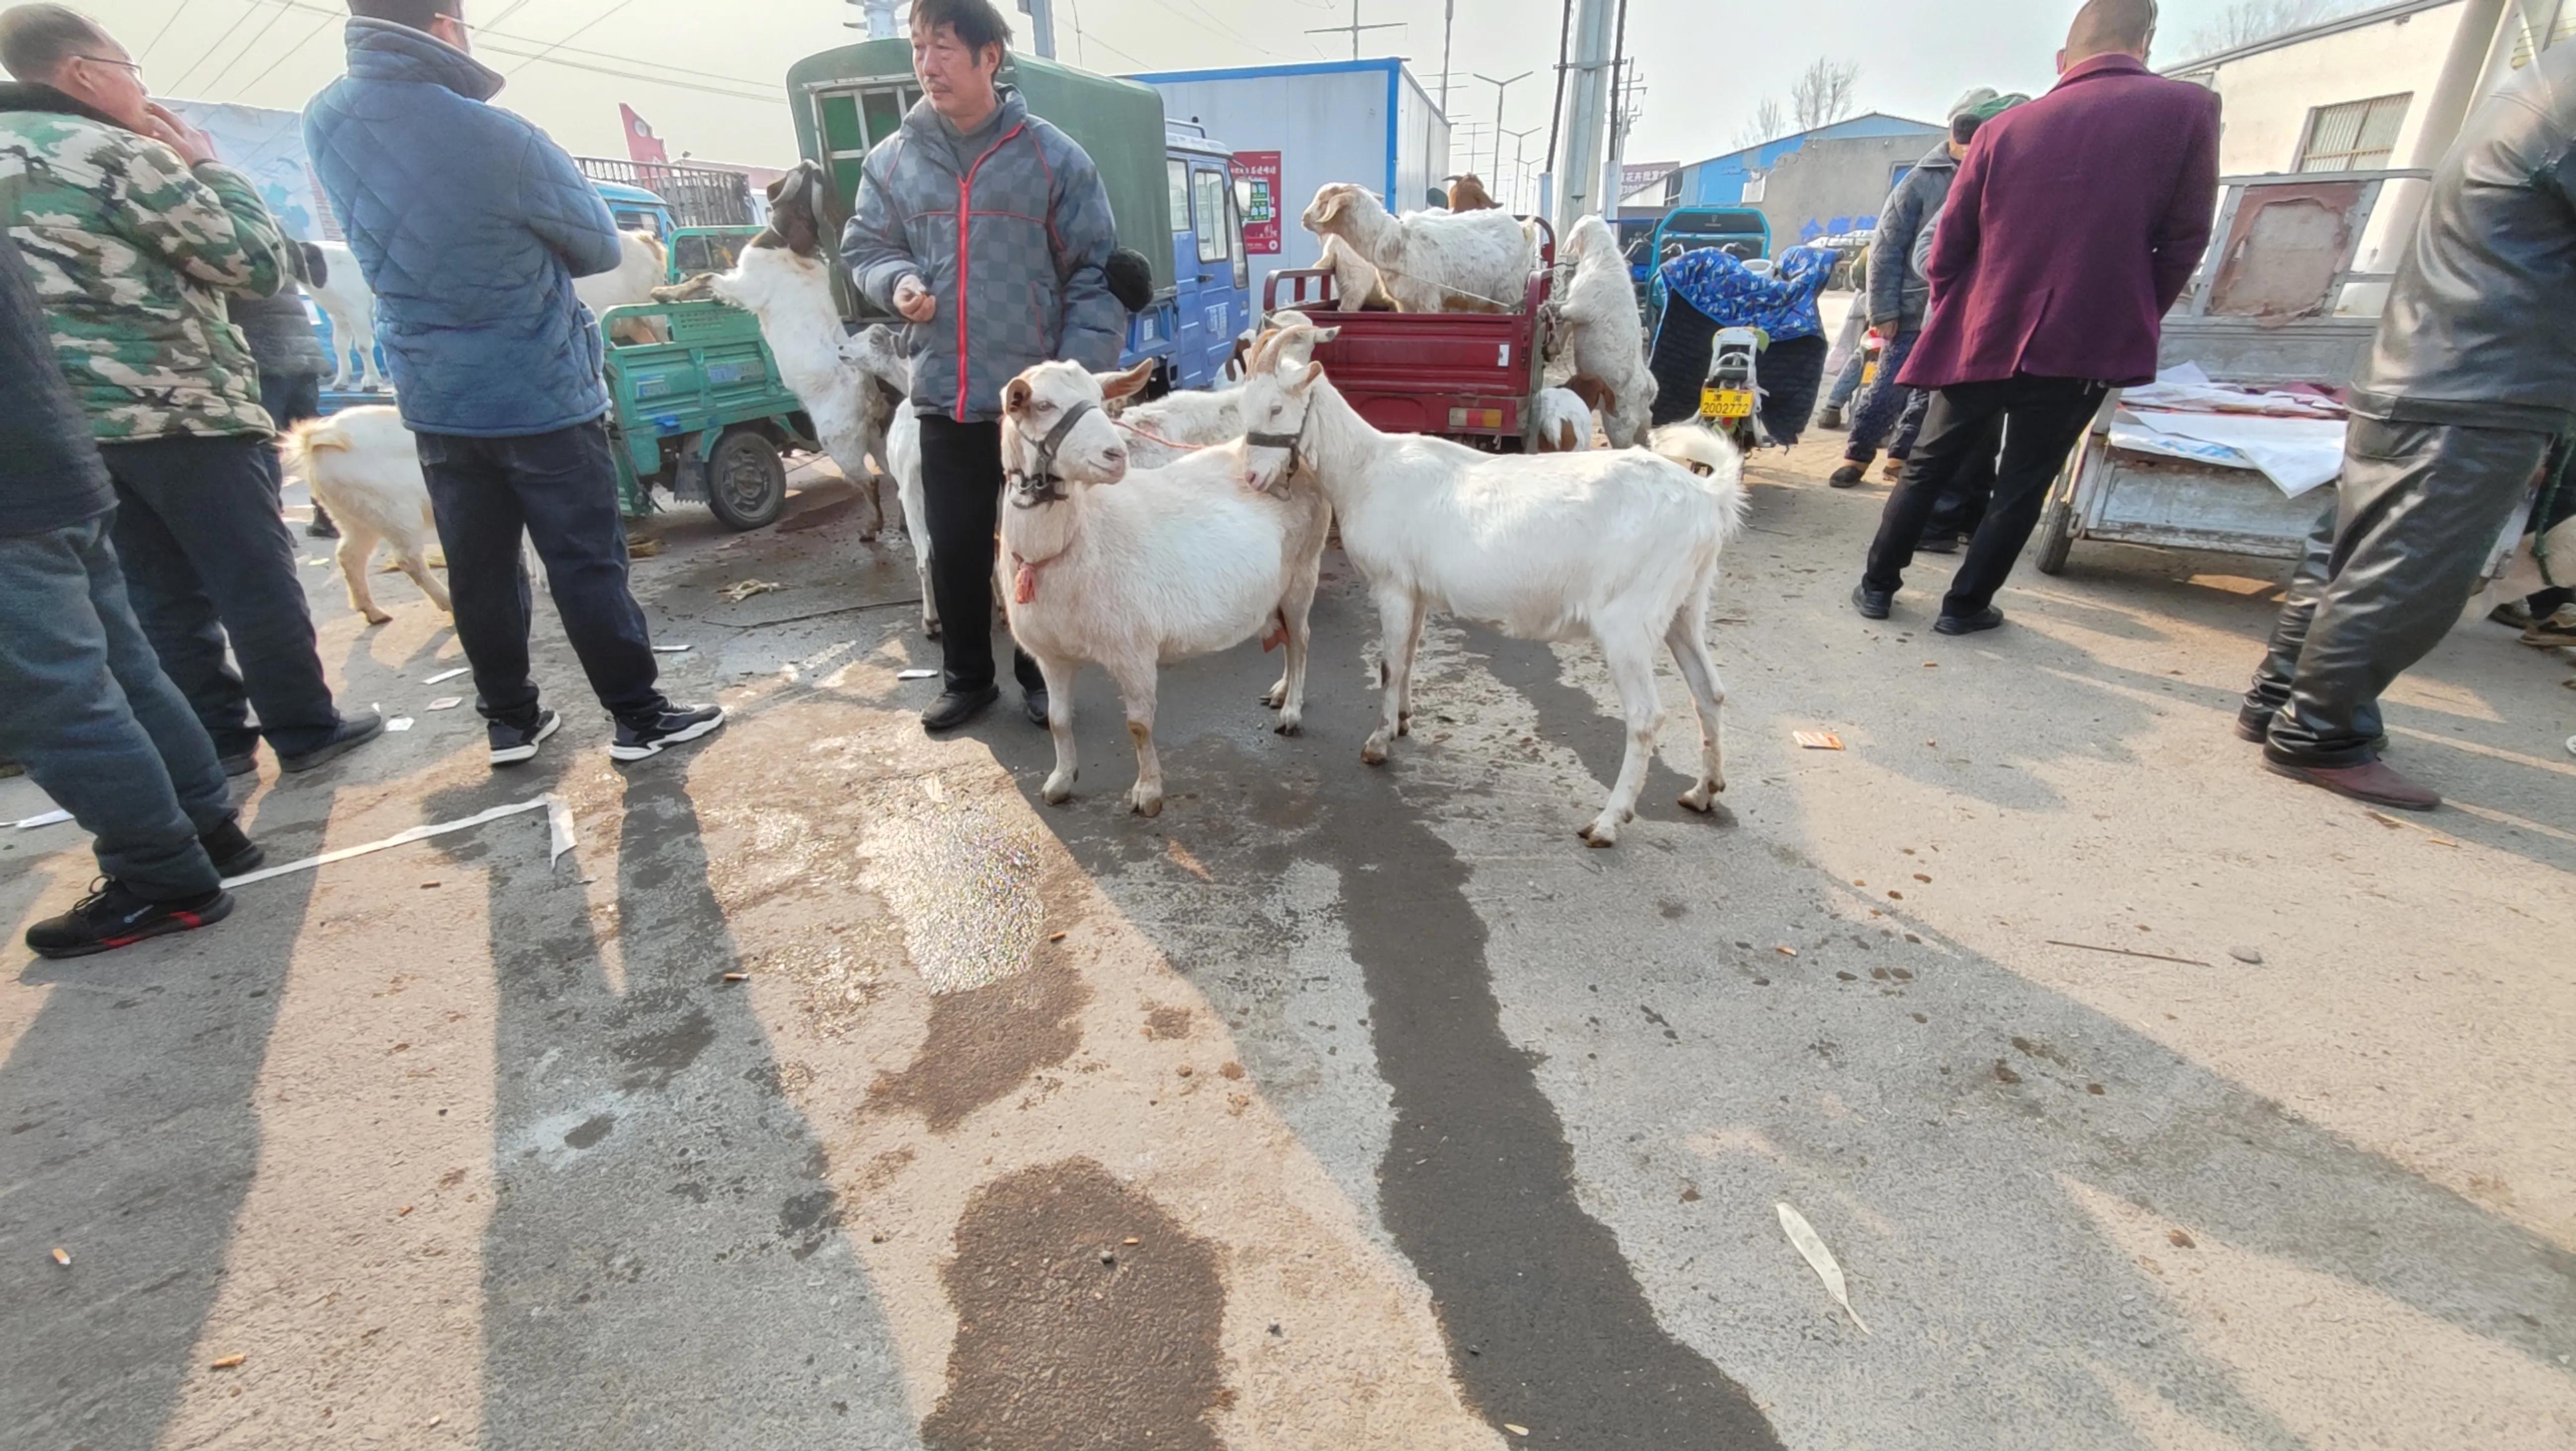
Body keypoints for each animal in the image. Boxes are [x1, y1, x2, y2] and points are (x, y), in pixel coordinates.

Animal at [287, 407, 458, 626]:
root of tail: (320, 437)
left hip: (357, 518)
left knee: (349, 554)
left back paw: (375, 614)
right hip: (396, 514)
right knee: (408, 559)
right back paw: (449, 605)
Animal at [306, 241, 381, 394]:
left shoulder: (357, 311)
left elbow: (363, 346)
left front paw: (371, 382)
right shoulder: (339, 315)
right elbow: (340, 345)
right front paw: (342, 381)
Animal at [999, 350, 1339, 819]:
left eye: (1099, 400)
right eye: (1042, 405)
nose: (1116, 454)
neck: (1077, 538)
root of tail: (1292, 459)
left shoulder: (1134, 650)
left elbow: (1139, 725)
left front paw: (1148, 792)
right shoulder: (1052, 655)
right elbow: (1058, 720)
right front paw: (1061, 781)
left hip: (1303, 570)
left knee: (1302, 639)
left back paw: (1291, 711)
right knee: (1288, 638)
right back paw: (1283, 689)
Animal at [1231, 323, 1752, 845]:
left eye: (1276, 408)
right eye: (1244, 408)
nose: (1252, 476)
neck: (1366, 467)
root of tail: (1708, 497)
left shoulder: (1392, 584)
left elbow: (1389, 665)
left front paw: (1378, 744)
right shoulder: (1417, 590)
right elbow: (1410, 656)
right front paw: (1403, 721)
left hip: (1629, 618)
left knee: (1646, 717)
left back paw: (1608, 822)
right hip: (1685, 604)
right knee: (1710, 691)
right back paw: (1704, 792)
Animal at [1298, 183, 1535, 313]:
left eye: (1324, 200)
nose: (1304, 218)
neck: (1393, 240)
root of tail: (1522, 228)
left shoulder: (1428, 300)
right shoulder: (1404, 302)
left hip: (1508, 294)